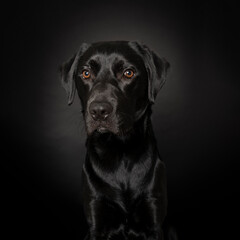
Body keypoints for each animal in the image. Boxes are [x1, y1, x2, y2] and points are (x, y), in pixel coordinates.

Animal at [61, 41, 171, 240]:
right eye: (86, 73)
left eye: (128, 73)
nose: (99, 111)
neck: (120, 151)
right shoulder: (96, 221)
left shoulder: (154, 220)